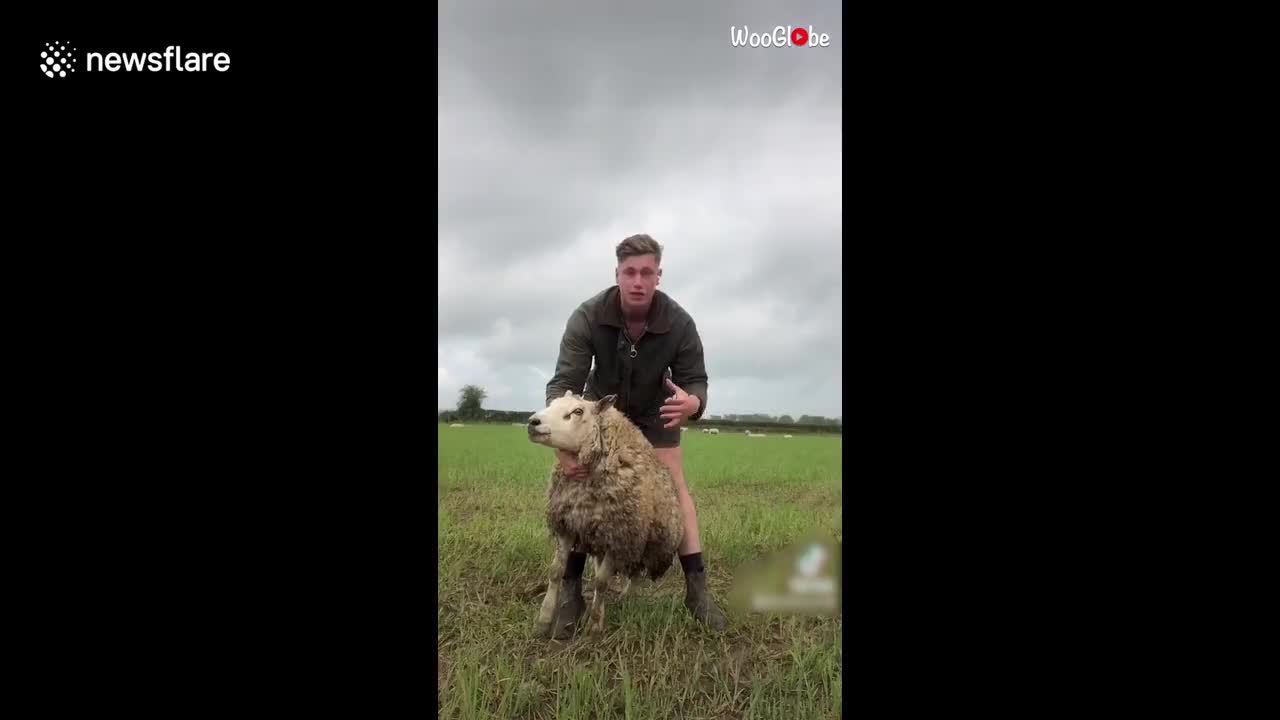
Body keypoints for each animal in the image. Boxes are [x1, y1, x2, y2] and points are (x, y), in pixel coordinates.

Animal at [524, 389, 686, 635]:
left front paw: (594, 627)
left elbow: (601, 582)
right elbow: (556, 571)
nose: (533, 422)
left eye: (578, 411)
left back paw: (626, 599)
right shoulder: (568, 524)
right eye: (553, 403)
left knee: (636, 574)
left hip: (645, 544)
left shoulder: (618, 534)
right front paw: (544, 620)